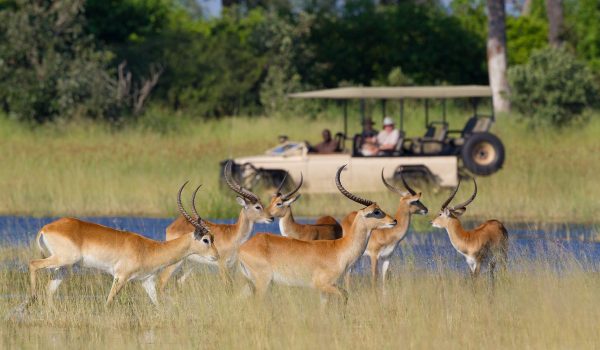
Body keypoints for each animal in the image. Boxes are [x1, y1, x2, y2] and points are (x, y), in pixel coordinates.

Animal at [27, 183, 218, 306]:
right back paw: (32, 297)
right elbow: (108, 302)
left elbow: (158, 305)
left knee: (49, 291)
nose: (216, 256)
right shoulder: (121, 277)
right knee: (33, 264)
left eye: (213, 237)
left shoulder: (147, 282)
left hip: (64, 267)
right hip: (63, 259)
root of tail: (47, 227)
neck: (150, 249)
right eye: (206, 239)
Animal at [158, 161, 274, 290]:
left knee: (178, 281)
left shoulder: (232, 267)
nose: (271, 218)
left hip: (189, 264)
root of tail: (172, 225)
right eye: (257, 207)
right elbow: (227, 286)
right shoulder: (222, 265)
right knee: (162, 280)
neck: (234, 236)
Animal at [236, 165, 398, 304]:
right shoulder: (323, 285)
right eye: (376, 211)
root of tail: (242, 248)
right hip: (263, 283)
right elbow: (345, 295)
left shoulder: (324, 291)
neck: (339, 249)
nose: (394, 221)